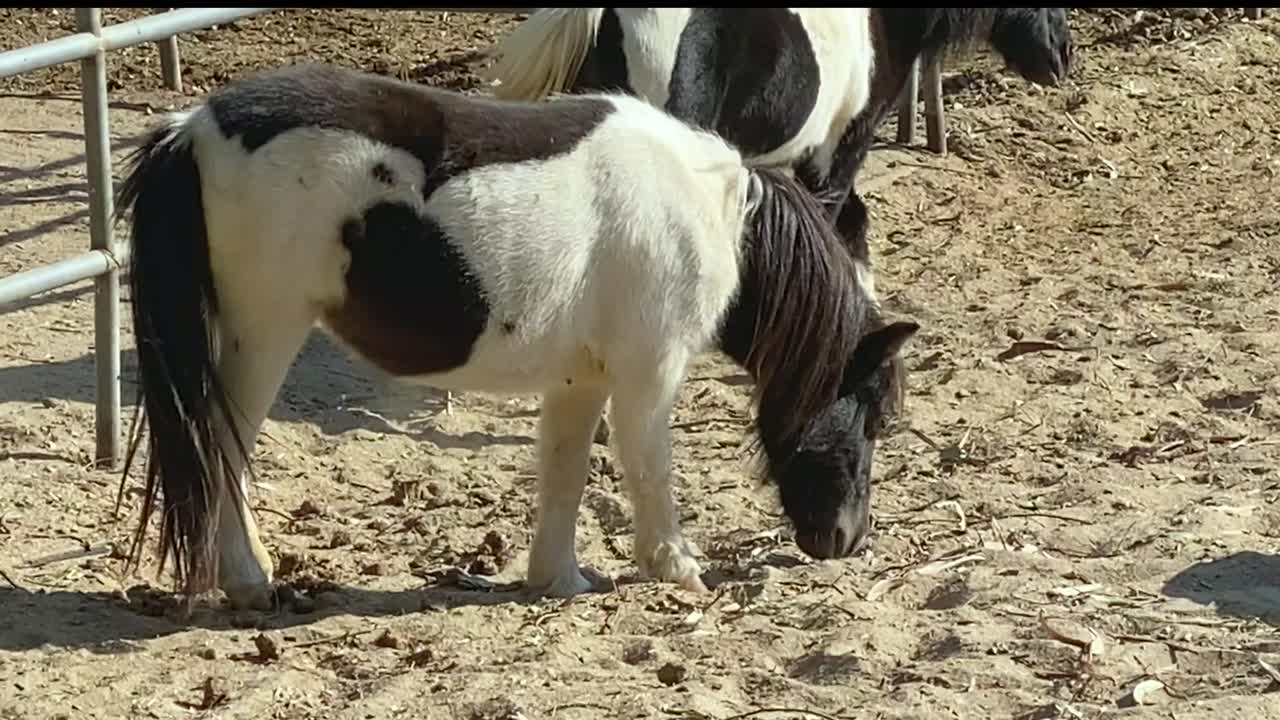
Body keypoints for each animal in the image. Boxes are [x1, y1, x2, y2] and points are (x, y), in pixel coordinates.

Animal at [113, 62, 919, 612]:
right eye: (872, 413)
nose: (847, 539)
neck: (711, 212)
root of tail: (191, 129)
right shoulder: (649, 374)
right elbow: (650, 468)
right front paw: (676, 567)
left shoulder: (581, 378)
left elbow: (565, 472)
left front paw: (556, 578)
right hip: (263, 333)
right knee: (222, 451)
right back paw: (251, 583)